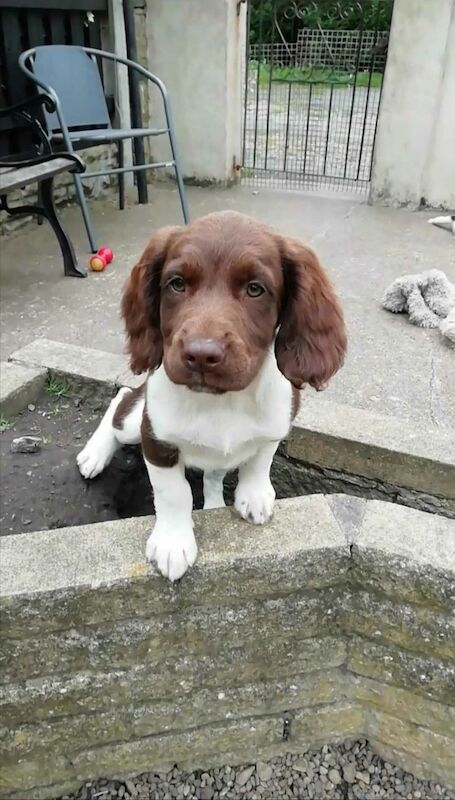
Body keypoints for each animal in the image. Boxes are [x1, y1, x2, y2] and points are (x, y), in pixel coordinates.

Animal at [77, 209, 346, 580]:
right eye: (177, 283)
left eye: (255, 289)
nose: (201, 355)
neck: (222, 400)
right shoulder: (156, 439)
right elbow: (174, 493)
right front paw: (173, 542)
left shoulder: (276, 424)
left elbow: (260, 459)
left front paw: (254, 495)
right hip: (136, 421)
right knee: (123, 400)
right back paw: (95, 454)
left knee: (214, 475)